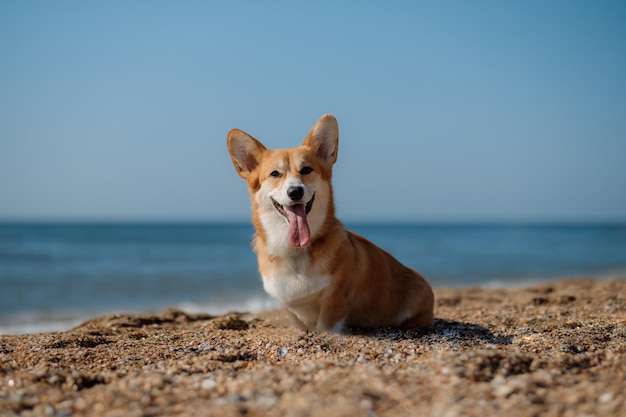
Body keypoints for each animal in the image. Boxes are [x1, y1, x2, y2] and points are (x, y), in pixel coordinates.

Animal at [227, 114, 432, 332]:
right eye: (275, 174)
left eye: (306, 170)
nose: (295, 191)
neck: (295, 251)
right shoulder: (289, 309)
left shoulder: (334, 302)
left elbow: (324, 327)